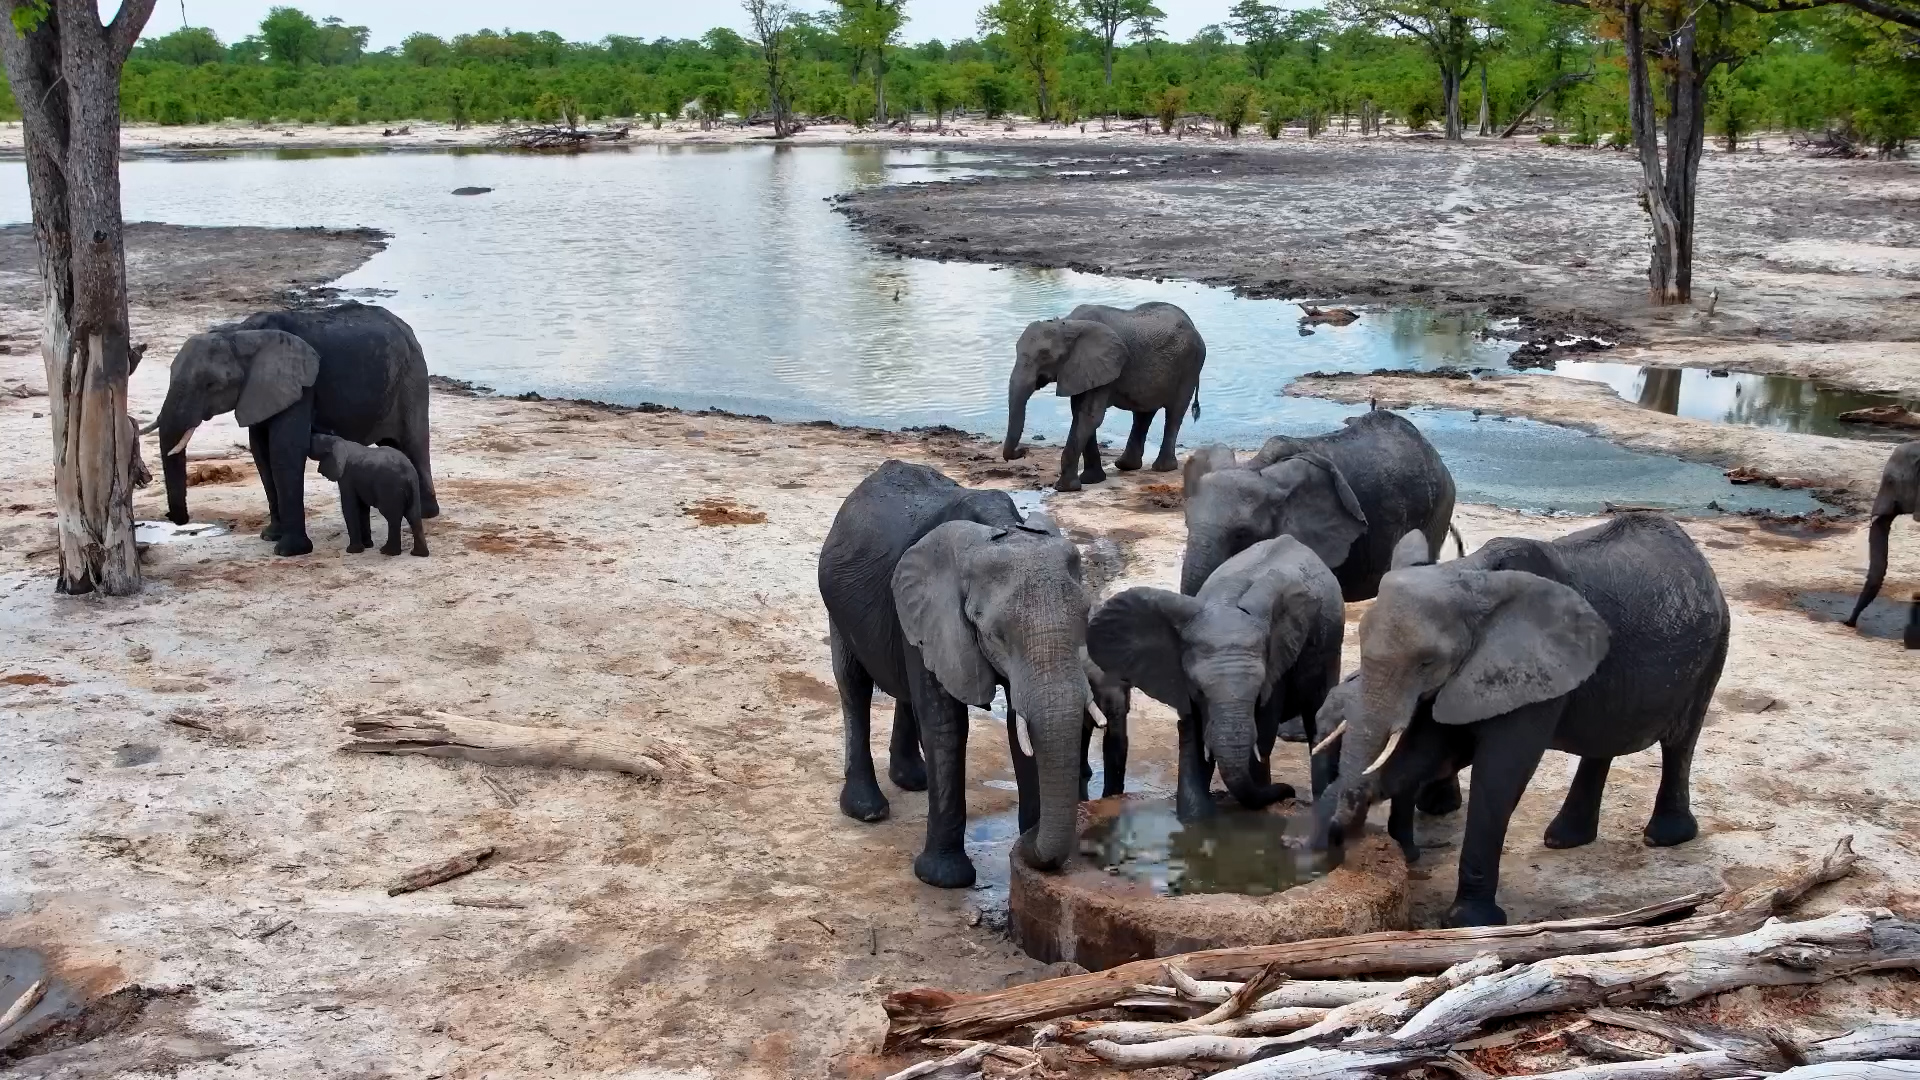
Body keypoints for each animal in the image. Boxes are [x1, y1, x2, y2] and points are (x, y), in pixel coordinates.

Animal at [151, 302, 435, 557]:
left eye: (211, 384)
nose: (177, 518)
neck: (241, 334)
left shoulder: (301, 388)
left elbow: (284, 450)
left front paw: (290, 551)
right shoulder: (259, 392)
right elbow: (261, 452)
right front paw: (270, 536)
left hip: (412, 377)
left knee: (414, 444)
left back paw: (427, 513)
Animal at [818, 460, 1094, 888]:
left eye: (1086, 618)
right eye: (994, 633)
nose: (1029, 846)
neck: (1001, 532)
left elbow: (1019, 727)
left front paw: (1027, 843)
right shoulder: (935, 611)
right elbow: (946, 726)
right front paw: (944, 879)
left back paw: (914, 781)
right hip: (838, 605)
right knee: (854, 684)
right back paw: (866, 809)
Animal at [1002, 302, 1205, 493]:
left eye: (1044, 355)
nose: (1024, 450)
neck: (1068, 324)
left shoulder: (1103, 365)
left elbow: (1089, 417)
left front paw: (1065, 488)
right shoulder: (1082, 370)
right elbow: (1080, 414)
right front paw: (1091, 480)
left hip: (1190, 365)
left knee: (1174, 413)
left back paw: (1162, 468)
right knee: (1143, 414)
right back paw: (1126, 465)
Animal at [1089, 535, 1344, 821]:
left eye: (1258, 694)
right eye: (1199, 691)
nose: (1288, 791)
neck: (1226, 604)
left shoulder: (1277, 668)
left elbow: (1262, 735)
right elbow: (1191, 730)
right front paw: (1194, 819)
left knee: (1317, 715)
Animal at [1308, 513, 1730, 928]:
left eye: (1427, 661)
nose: (1335, 837)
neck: (1468, 575)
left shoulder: (1531, 669)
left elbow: (1501, 771)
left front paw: (1470, 923)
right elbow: (1425, 751)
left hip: (1714, 648)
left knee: (1680, 743)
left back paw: (1663, 838)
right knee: (1603, 742)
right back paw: (1565, 839)